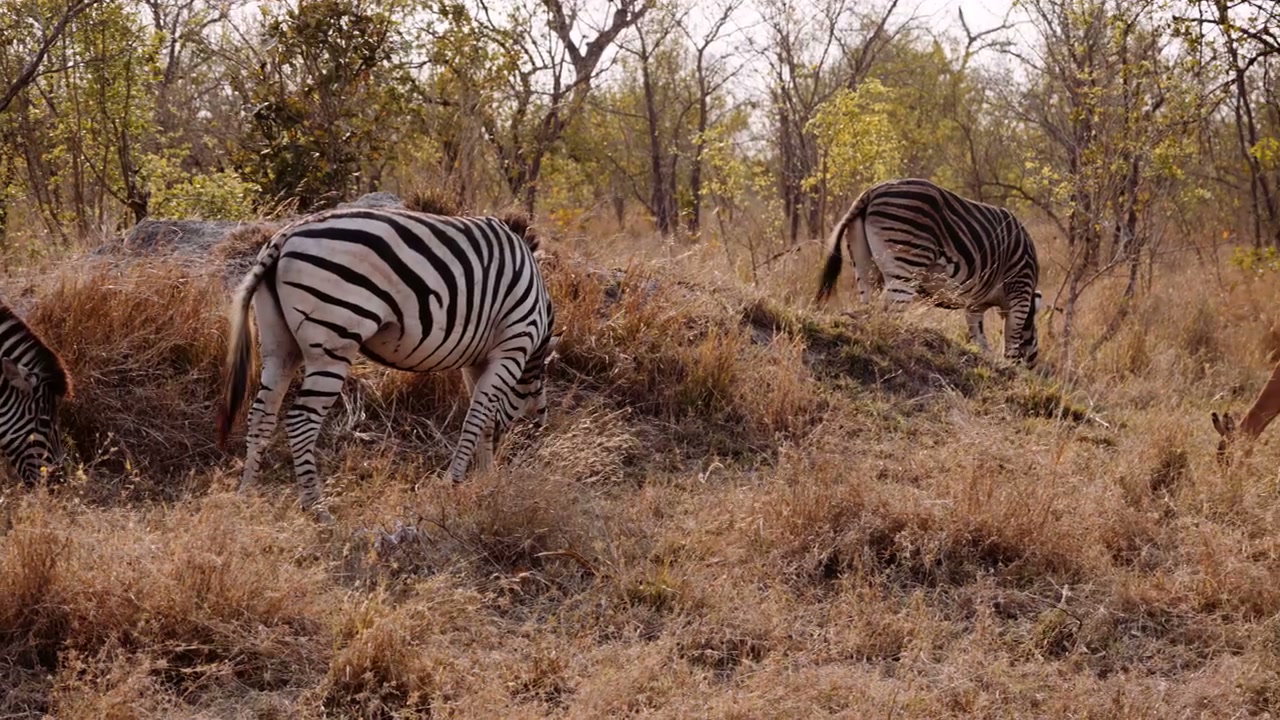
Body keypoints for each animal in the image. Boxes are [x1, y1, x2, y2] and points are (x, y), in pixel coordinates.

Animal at [216, 208, 557, 521]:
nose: (536, 442)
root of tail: (286, 235)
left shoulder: (478, 359)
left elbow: (484, 417)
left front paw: (486, 479)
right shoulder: (511, 346)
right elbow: (477, 417)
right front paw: (454, 482)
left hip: (279, 345)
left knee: (261, 414)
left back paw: (246, 493)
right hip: (333, 340)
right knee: (301, 420)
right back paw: (316, 507)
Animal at [814, 178, 1043, 367]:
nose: (1034, 370)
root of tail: (871, 192)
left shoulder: (975, 304)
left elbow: (979, 338)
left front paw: (988, 362)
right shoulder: (1020, 288)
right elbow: (1012, 338)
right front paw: (1011, 370)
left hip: (864, 264)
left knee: (870, 310)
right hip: (906, 264)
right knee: (888, 315)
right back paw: (898, 351)